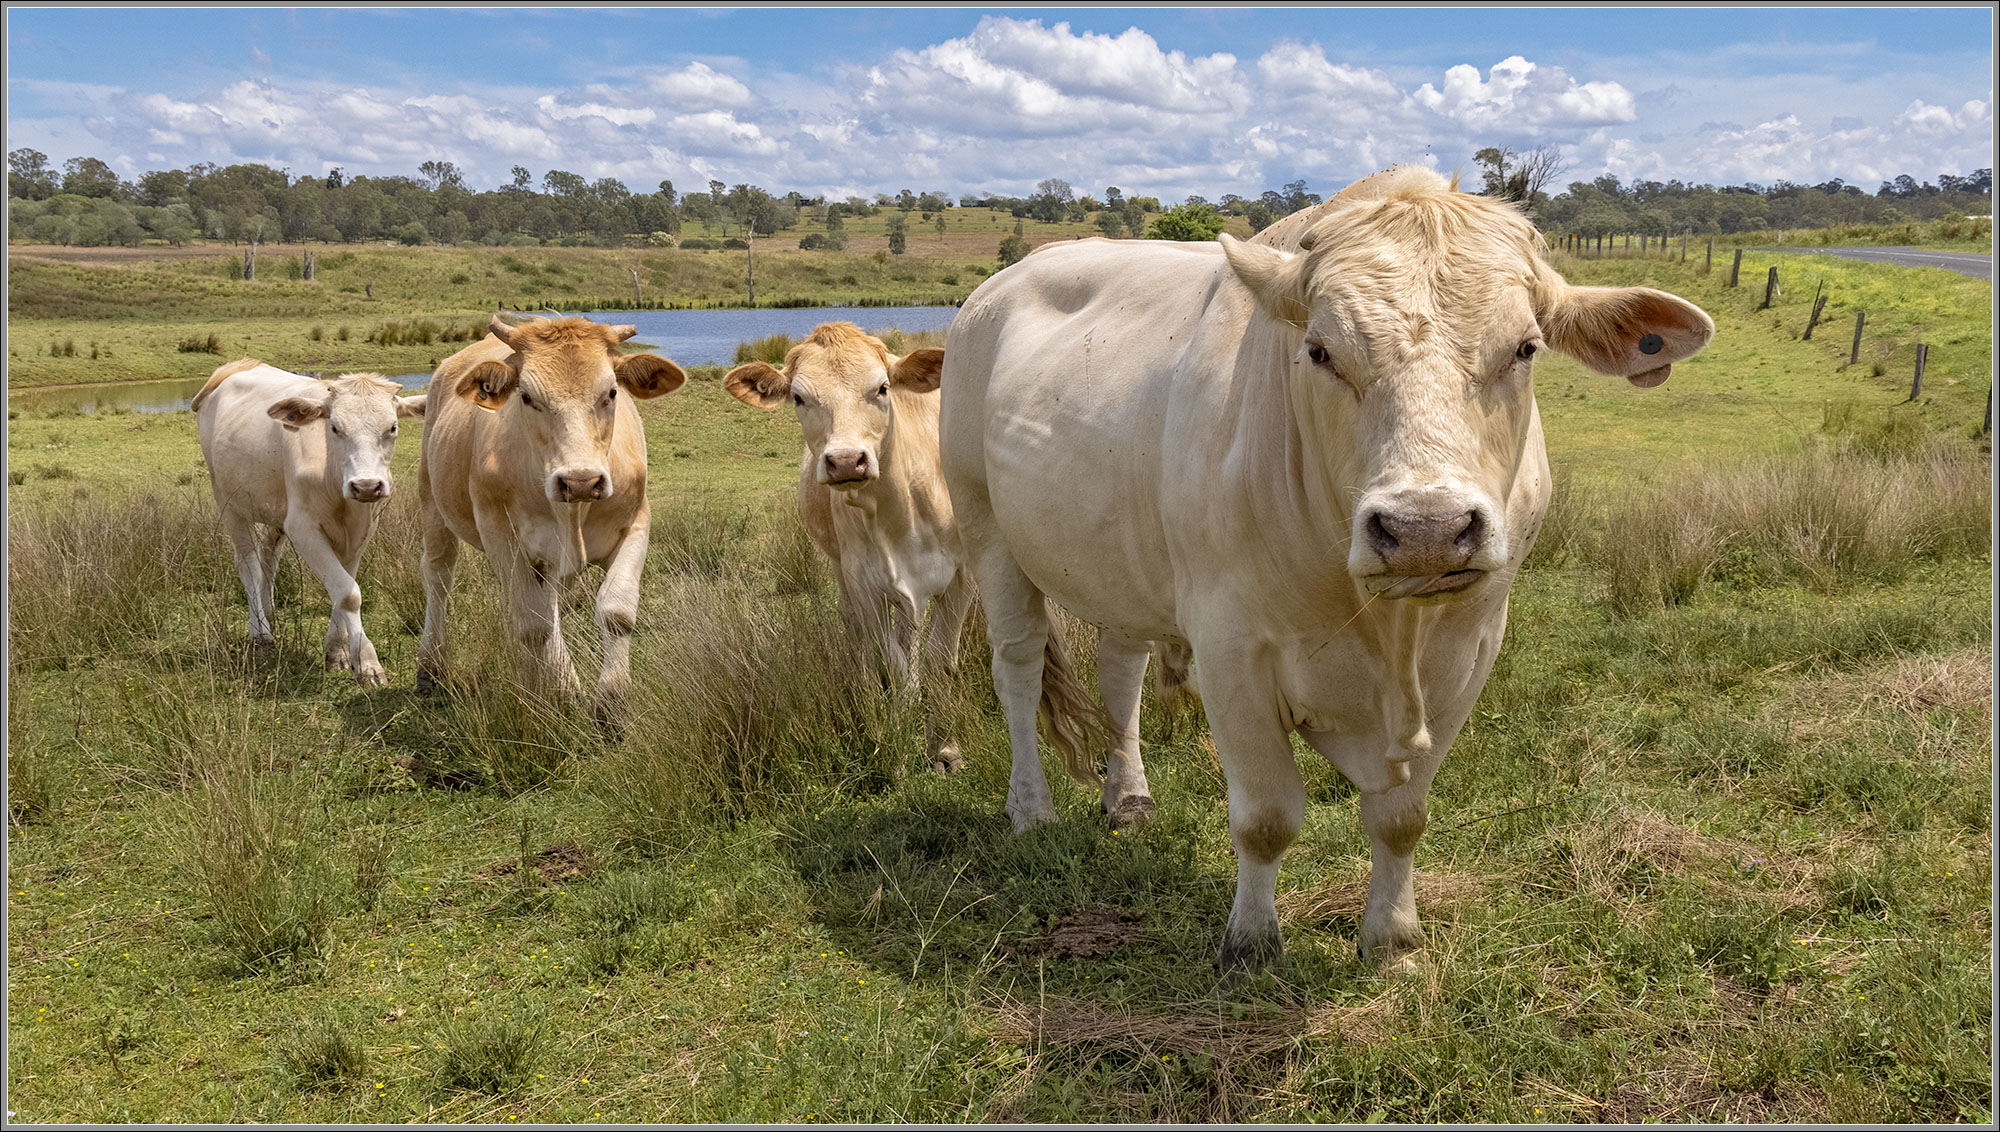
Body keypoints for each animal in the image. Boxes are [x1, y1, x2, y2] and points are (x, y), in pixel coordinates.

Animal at [192, 358, 425, 683]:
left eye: (392, 427)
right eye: (335, 427)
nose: (366, 486)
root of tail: (238, 365)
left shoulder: (364, 527)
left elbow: (344, 587)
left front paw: (338, 653)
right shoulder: (302, 527)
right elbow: (348, 593)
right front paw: (367, 662)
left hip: (274, 510)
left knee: (268, 557)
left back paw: (269, 613)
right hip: (229, 502)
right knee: (248, 565)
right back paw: (261, 635)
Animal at [415, 315, 686, 719]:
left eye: (611, 393)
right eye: (527, 397)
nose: (580, 480)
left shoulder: (637, 522)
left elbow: (617, 612)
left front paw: (611, 706)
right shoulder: (500, 535)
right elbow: (532, 624)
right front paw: (541, 700)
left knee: (549, 602)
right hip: (433, 506)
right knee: (438, 579)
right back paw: (430, 667)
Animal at [724, 322, 973, 772]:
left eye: (883, 387)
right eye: (799, 397)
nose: (844, 461)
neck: (903, 508)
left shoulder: (962, 577)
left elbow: (941, 660)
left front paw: (945, 748)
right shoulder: (862, 582)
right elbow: (890, 660)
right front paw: (896, 737)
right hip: (841, 570)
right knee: (862, 633)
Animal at [939, 166, 1715, 971]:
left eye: (1526, 348)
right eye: (1318, 351)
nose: (1426, 530)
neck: (1388, 633)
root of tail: (991, 293)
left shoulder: (1471, 651)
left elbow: (1401, 816)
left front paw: (1393, 939)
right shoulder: (1230, 649)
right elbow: (1266, 817)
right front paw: (1250, 942)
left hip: (1123, 565)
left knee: (1122, 669)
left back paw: (1128, 797)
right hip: (985, 528)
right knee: (1018, 669)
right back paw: (1031, 807)